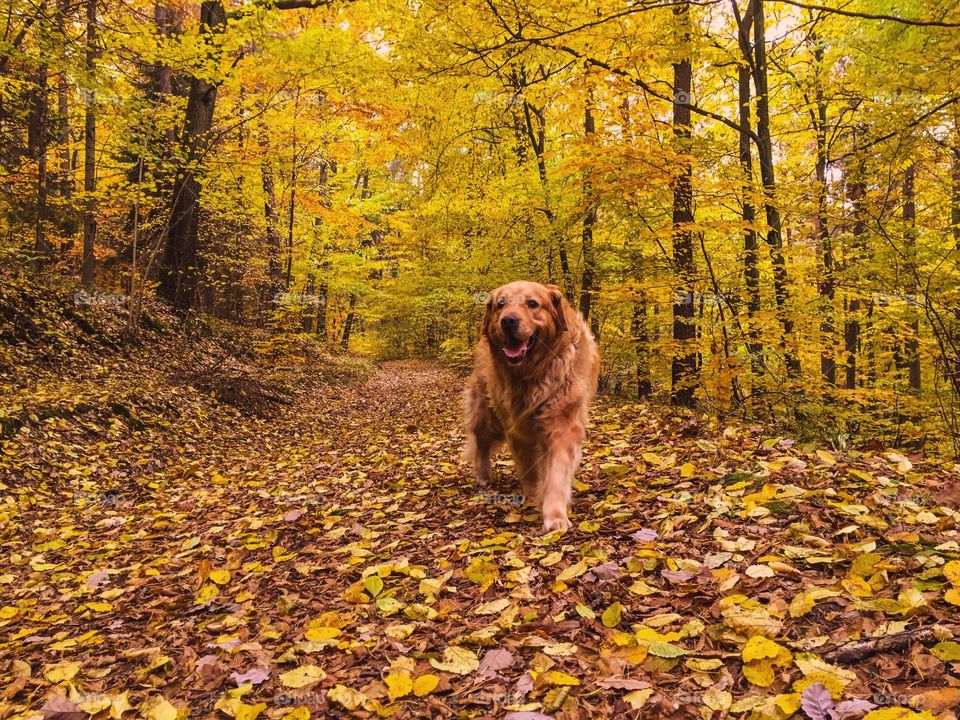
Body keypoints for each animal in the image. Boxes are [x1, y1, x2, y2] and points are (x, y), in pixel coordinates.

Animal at [464, 284, 600, 532]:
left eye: (532, 304)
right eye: (501, 304)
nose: (508, 321)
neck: (533, 373)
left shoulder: (561, 424)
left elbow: (556, 474)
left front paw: (555, 516)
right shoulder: (518, 429)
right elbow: (529, 468)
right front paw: (532, 497)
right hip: (486, 412)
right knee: (481, 442)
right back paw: (482, 475)